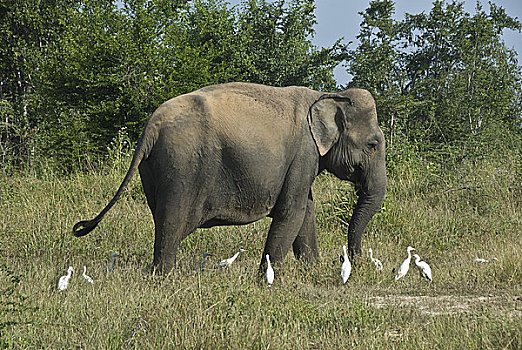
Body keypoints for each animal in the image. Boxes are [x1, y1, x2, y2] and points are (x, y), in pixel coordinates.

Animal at [72, 82, 382, 274]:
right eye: (373, 145)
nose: (350, 260)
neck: (327, 95)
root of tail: (151, 126)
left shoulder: (303, 162)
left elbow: (305, 211)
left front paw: (312, 272)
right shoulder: (304, 153)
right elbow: (291, 212)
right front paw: (266, 281)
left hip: (152, 169)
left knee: (162, 219)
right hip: (181, 165)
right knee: (172, 222)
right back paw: (163, 278)